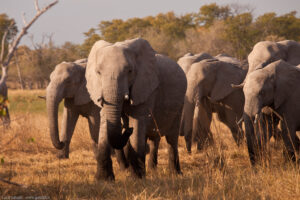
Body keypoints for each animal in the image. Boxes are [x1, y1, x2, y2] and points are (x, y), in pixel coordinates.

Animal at [85, 37, 186, 180]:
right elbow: (105, 121)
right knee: (154, 137)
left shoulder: (145, 87)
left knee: (171, 138)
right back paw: (152, 171)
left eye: (129, 71)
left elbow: (137, 121)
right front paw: (103, 180)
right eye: (98, 73)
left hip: (180, 102)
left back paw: (175, 174)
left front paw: (137, 179)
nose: (127, 130)